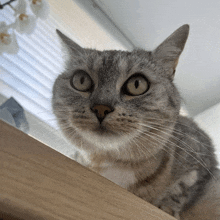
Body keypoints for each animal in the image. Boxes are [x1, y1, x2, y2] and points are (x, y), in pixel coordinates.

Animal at [52, 24, 220, 219]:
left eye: (137, 84)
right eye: (81, 80)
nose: (101, 108)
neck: (112, 165)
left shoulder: (201, 155)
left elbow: (182, 188)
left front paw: (168, 207)